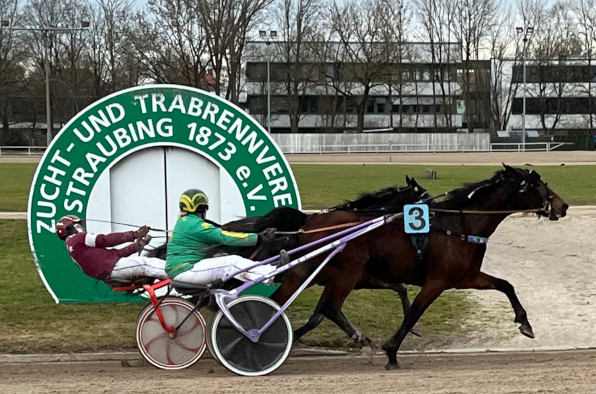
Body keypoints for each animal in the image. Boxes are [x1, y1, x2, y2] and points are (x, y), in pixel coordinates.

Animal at [270, 165, 568, 368]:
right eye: (537, 184)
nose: (562, 205)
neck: (459, 226)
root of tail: (308, 222)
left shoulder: (466, 276)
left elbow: (506, 285)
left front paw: (525, 323)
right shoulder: (437, 281)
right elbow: (413, 312)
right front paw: (391, 351)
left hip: (306, 274)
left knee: (290, 303)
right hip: (346, 274)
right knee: (329, 307)